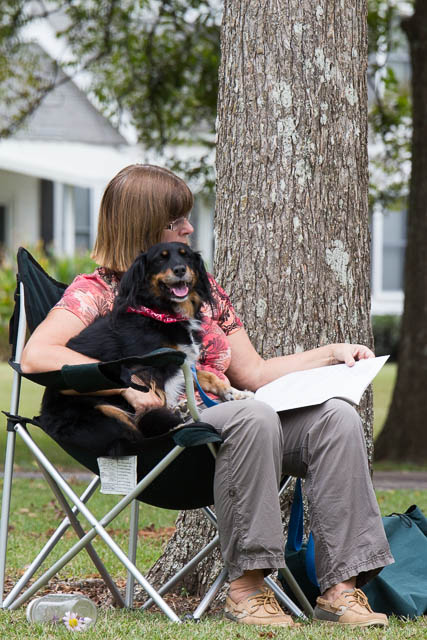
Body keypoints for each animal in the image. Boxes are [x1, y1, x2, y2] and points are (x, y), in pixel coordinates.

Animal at [41, 242, 247, 458]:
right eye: (160, 259)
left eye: (186, 256)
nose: (180, 270)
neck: (162, 313)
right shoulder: (147, 368)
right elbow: (157, 398)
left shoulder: (181, 362)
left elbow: (206, 376)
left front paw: (234, 393)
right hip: (104, 413)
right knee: (133, 435)